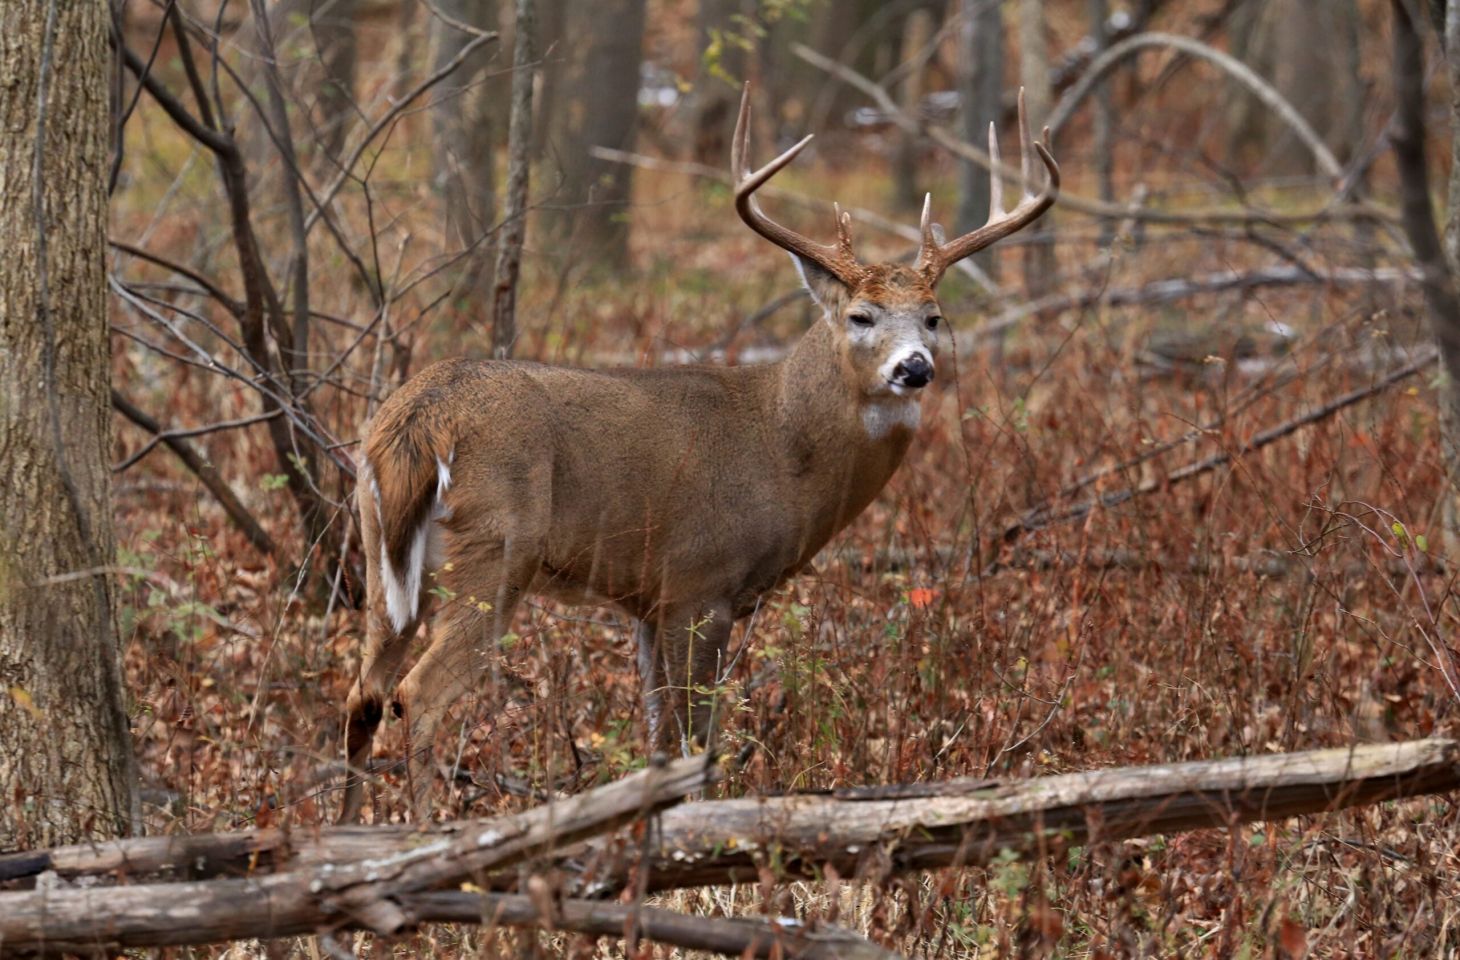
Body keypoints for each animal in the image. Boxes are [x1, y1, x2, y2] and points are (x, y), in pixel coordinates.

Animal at [339, 85, 1058, 822]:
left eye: (934, 317)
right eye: (861, 316)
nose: (914, 368)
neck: (781, 444)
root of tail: (420, 417)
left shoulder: (648, 602)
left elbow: (661, 733)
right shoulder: (700, 583)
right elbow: (695, 737)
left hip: (379, 549)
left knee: (361, 693)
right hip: (496, 548)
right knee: (415, 694)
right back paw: (424, 827)